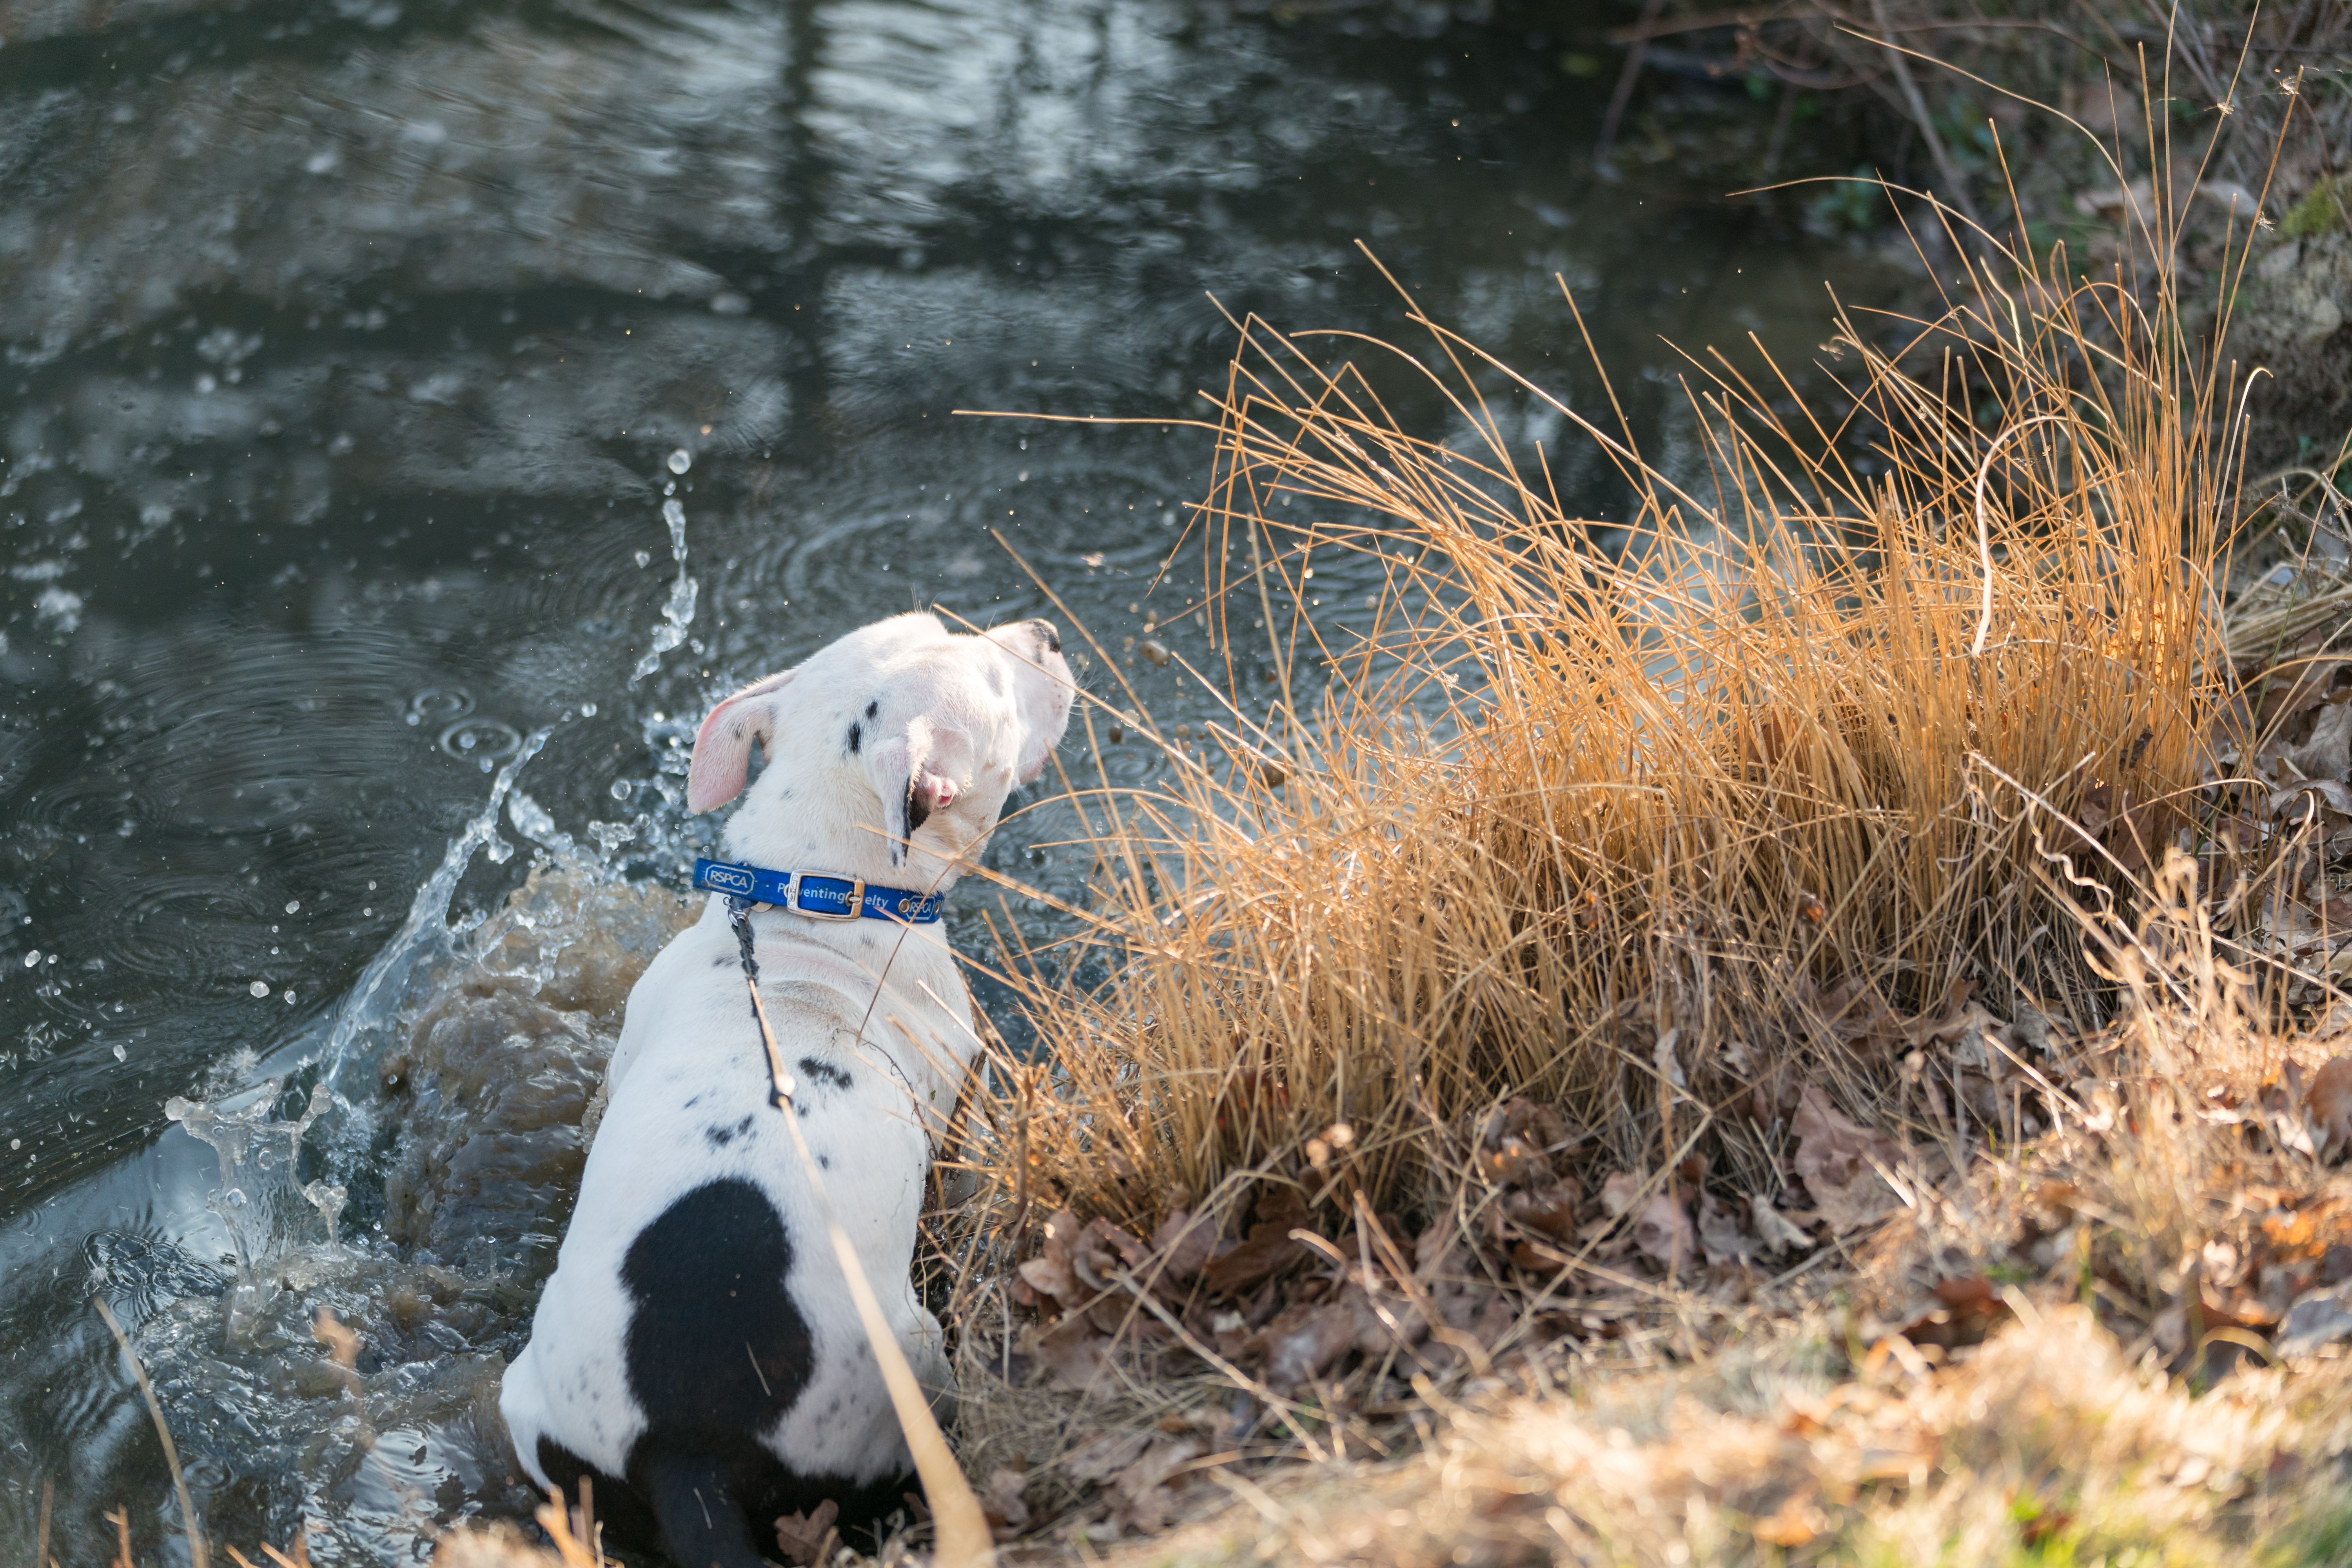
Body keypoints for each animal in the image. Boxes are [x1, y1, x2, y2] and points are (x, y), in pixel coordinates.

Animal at [510, 611, 1077, 1568]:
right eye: (1000, 689)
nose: (1046, 632)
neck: (812, 902)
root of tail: (683, 1451)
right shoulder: (960, 1103)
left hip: (532, 1411)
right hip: (912, 1373)